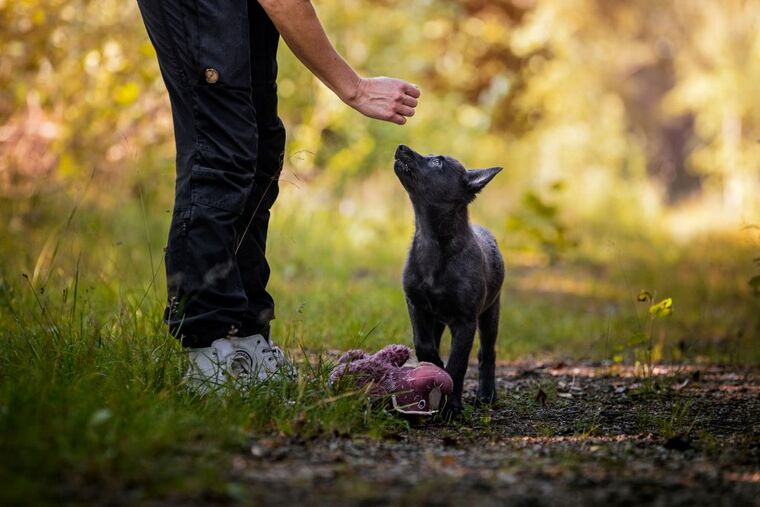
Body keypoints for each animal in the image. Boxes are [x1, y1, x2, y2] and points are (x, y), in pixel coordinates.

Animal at [392, 144, 504, 416]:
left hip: (490, 313)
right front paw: (433, 369)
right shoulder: (416, 305)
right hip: (438, 318)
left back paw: (487, 394)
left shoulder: (465, 322)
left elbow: (458, 364)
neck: (433, 242)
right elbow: (424, 344)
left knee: (487, 353)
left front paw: (452, 406)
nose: (401, 147)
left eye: (438, 162)